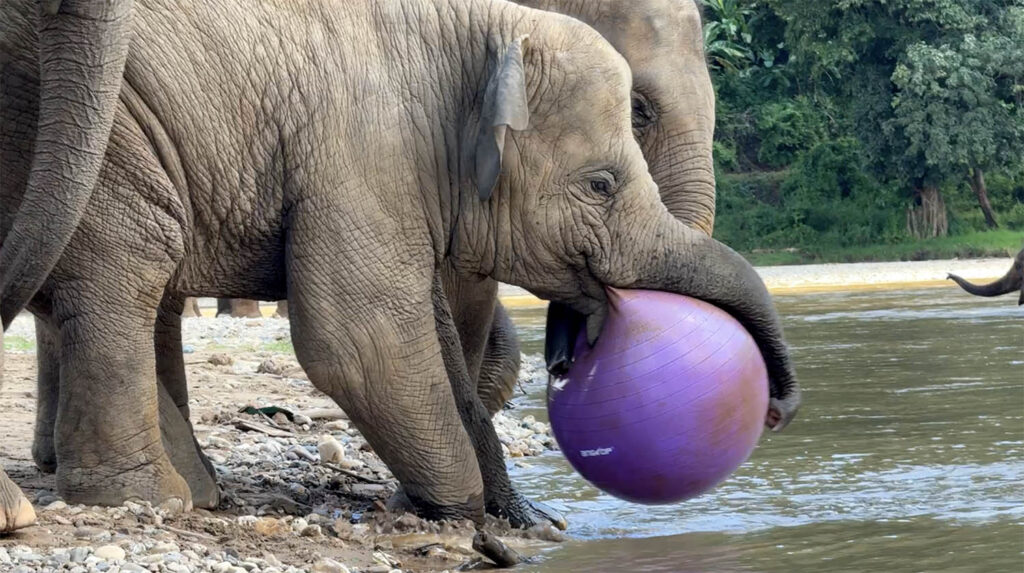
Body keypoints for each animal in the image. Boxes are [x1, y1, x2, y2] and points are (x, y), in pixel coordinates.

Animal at [0, 0, 801, 532]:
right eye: (602, 182)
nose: (779, 411)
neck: (474, 25)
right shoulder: (363, 148)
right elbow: (363, 336)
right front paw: (462, 508)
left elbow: (428, 326)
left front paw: (523, 519)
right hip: (112, 122)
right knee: (129, 268)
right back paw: (149, 499)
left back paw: (187, 491)